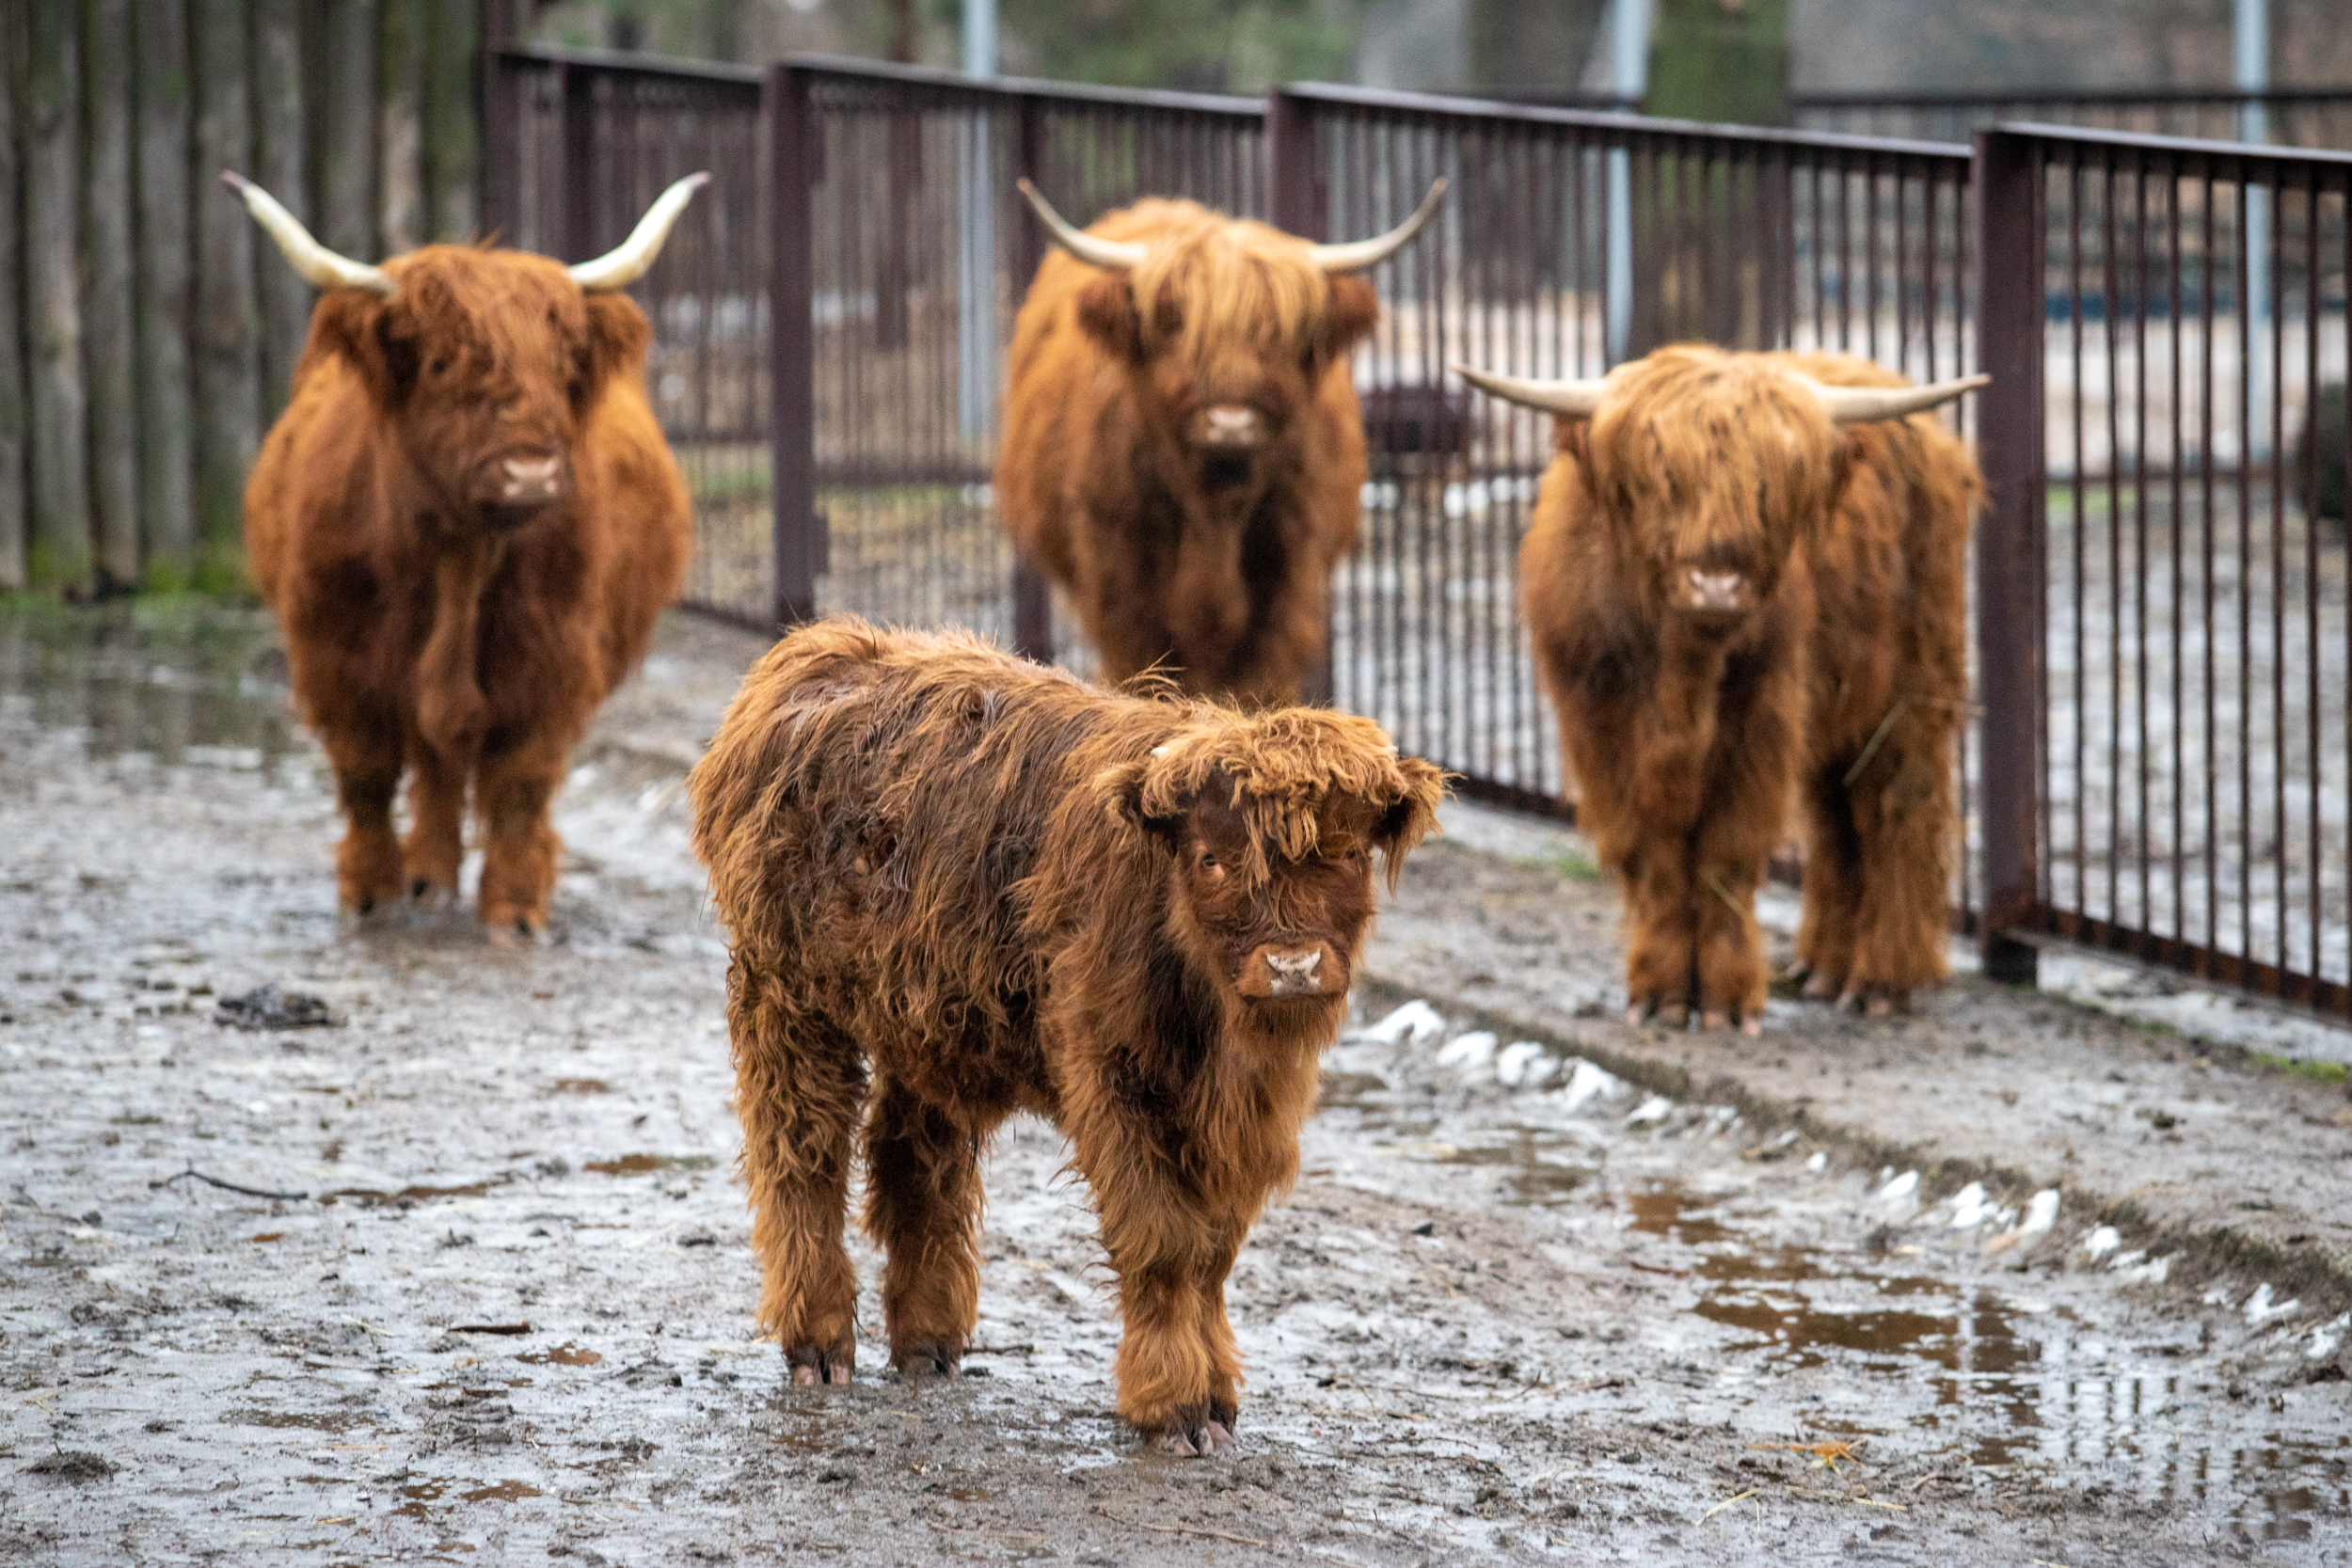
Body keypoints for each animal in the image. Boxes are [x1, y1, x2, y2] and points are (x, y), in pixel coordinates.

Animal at [233, 171, 701, 930]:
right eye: (441, 363)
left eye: (560, 368)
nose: (531, 472)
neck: (460, 557)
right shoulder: (336, 655)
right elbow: (366, 774)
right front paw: (372, 893)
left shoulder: (552, 659)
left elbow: (519, 785)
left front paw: (512, 911)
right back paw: (426, 878)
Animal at [687, 620, 1439, 1457]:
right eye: (1213, 858)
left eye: (1348, 855)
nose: (1293, 965)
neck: (1220, 1035)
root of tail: (817, 652)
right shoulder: (1115, 1080)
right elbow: (1164, 1242)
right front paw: (1174, 1406)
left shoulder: (1241, 1117)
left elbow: (1213, 1253)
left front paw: (1217, 1399)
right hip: (787, 998)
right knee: (802, 1155)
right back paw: (819, 1345)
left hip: (925, 1018)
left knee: (913, 1162)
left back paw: (929, 1343)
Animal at [983, 177, 1439, 705]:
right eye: (1174, 322)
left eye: (1280, 332)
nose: (1231, 423)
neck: (1214, 518)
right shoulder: (1121, 588)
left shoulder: (1289, 583)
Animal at [1458, 345, 1994, 1029]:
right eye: (1658, 480)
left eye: (1771, 485)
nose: (1716, 584)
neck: (1681, 680)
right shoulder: (1598, 728)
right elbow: (1651, 856)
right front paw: (1659, 993)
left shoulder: (1759, 723)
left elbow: (1726, 851)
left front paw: (1723, 1001)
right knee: (1836, 818)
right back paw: (1823, 970)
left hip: (1911, 690)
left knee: (1899, 805)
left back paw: (1879, 981)